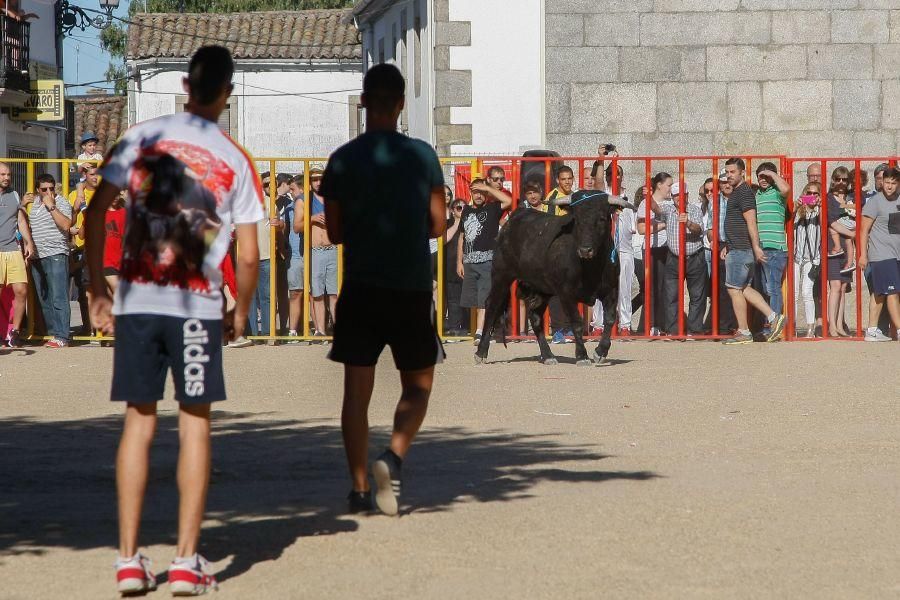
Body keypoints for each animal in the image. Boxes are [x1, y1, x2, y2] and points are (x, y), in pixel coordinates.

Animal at [474, 193, 628, 366]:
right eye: (576, 219)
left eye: (601, 218)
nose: (585, 250)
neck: (591, 266)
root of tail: (514, 218)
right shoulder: (566, 293)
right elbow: (576, 323)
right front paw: (582, 356)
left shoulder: (611, 290)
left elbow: (610, 319)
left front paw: (600, 352)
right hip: (501, 275)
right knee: (492, 306)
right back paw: (481, 352)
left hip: (542, 289)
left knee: (535, 317)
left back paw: (548, 355)